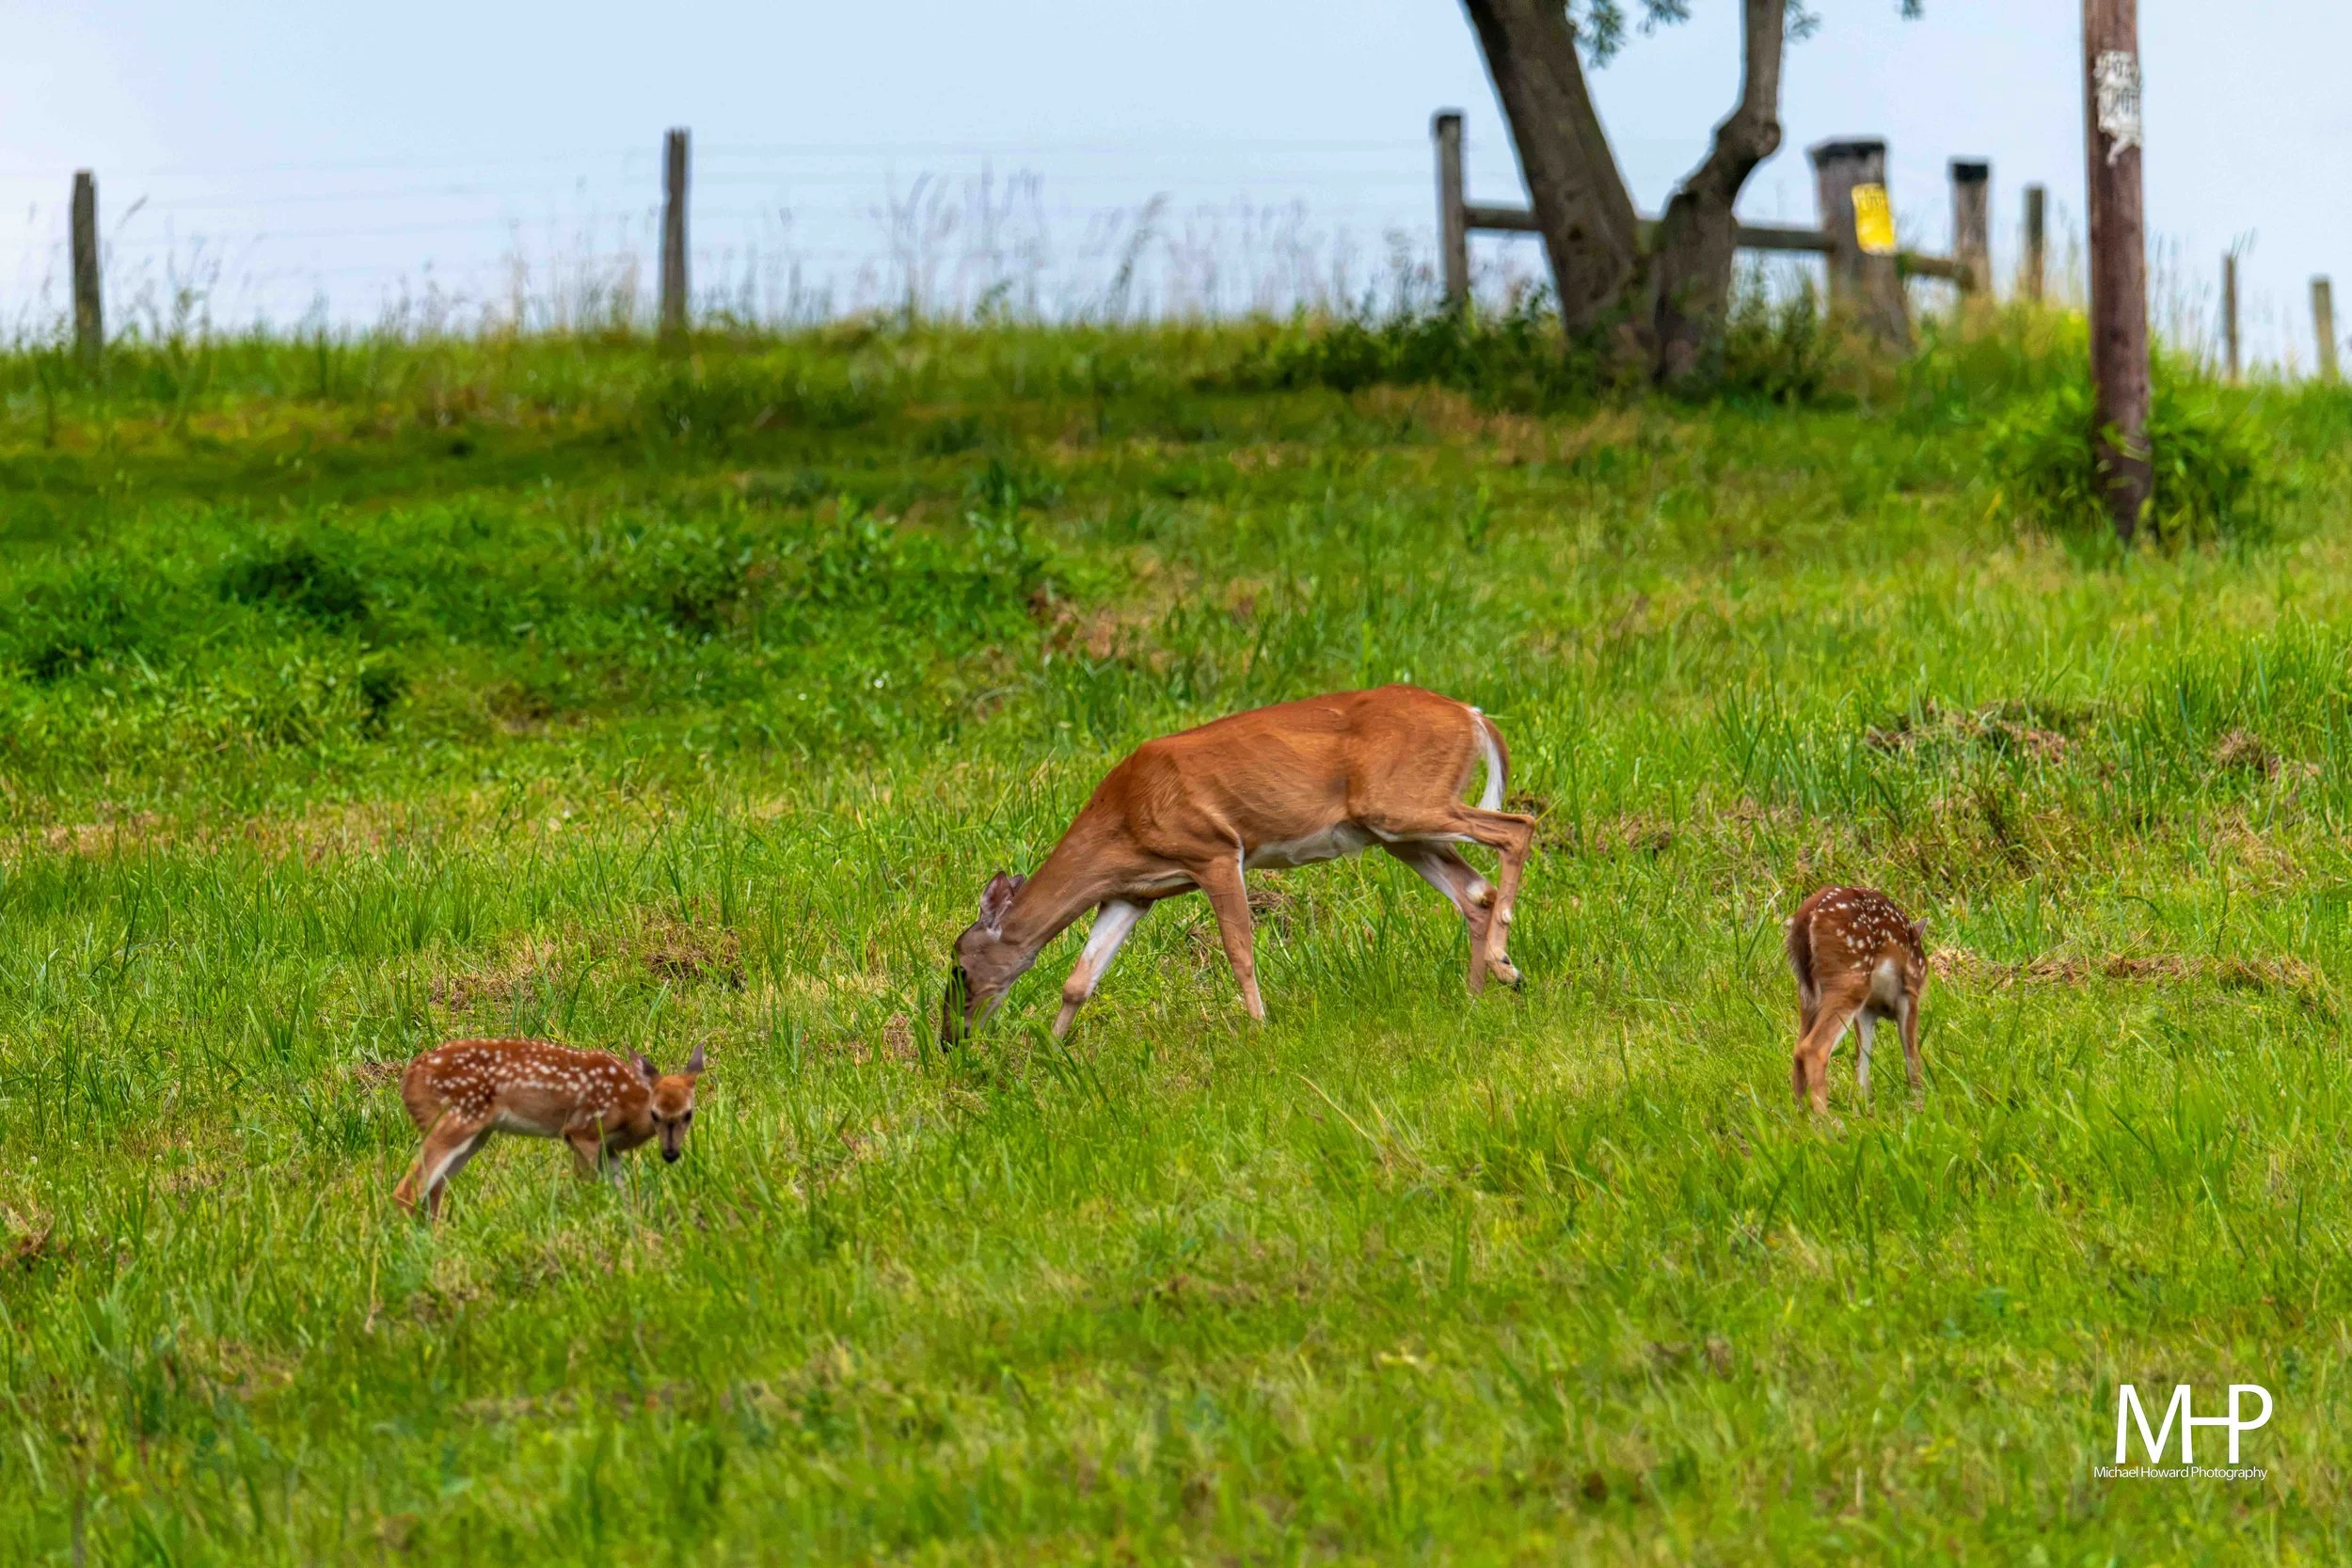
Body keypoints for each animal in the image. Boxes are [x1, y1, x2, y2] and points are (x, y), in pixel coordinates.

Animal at [391, 1037, 704, 1221]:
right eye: (655, 1114)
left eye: (689, 1114)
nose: (671, 1153)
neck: (629, 1105)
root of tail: (409, 1081)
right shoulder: (583, 1132)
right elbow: (586, 1187)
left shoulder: (611, 1149)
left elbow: (624, 1195)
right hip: (455, 1119)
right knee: (407, 1191)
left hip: (476, 1135)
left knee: (433, 1189)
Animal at [939, 684, 1536, 1044]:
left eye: (959, 968)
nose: (950, 1040)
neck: (1124, 819)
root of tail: (1474, 716)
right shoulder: (1132, 891)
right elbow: (1079, 979)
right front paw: (1052, 1048)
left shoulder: (1215, 849)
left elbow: (1239, 950)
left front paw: (1258, 1029)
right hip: (1396, 830)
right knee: (1474, 891)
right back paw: (1478, 993)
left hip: (1403, 803)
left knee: (1517, 828)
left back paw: (1506, 965)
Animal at [1785, 886, 1928, 1113]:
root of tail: (1806, 917)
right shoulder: (1909, 993)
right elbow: (1912, 1055)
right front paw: (1920, 1105)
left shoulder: (1866, 1010)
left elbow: (1863, 1060)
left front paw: (1862, 1110)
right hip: (1850, 978)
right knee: (1813, 1048)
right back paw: (1826, 1120)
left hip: (1807, 993)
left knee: (1798, 1050)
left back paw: (1800, 1116)